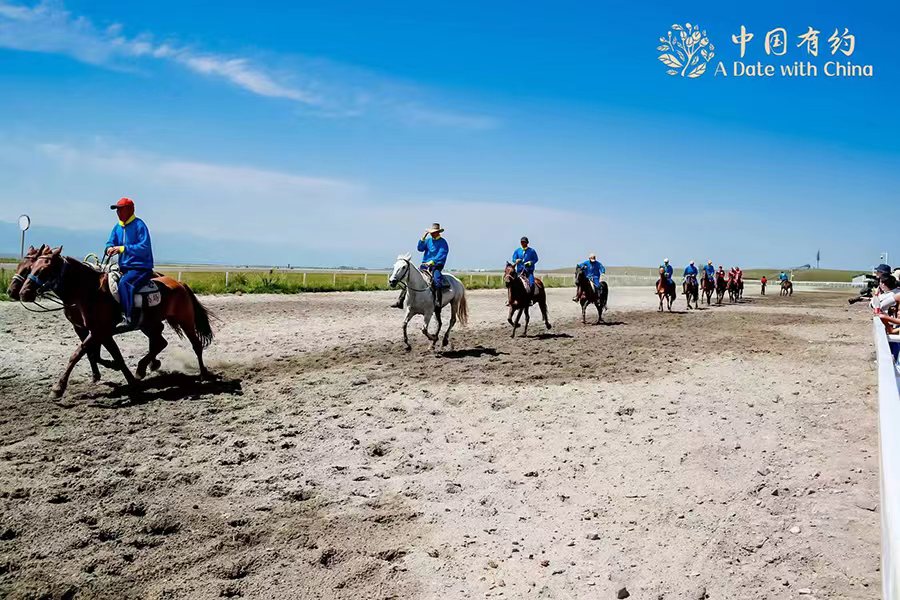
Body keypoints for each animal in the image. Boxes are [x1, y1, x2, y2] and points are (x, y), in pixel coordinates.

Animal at [18, 246, 215, 396]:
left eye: (43, 270)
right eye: (30, 268)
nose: (22, 293)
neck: (89, 292)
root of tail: (180, 284)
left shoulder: (99, 331)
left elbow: (79, 354)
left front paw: (58, 388)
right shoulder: (96, 331)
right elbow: (110, 355)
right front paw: (129, 380)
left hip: (185, 320)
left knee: (196, 345)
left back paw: (203, 374)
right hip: (149, 324)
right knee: (160, 342)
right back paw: (143, 368)